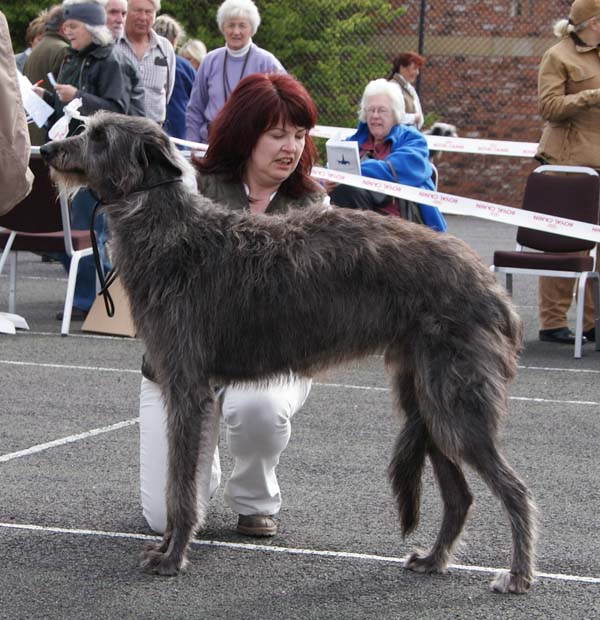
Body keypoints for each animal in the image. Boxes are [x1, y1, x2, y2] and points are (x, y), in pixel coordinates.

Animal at [42, 112, 540, 596]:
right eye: (84, 126)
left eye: (101, 136)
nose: (46, 149)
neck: (169, 229)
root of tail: (493, 289)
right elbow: (180, 480)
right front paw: (167, 547)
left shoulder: (187, 385)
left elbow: (180, 486)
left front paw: (173, 556)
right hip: (427, 398)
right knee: (460, 495)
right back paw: (434, 560)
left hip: (454, 400)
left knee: (515, 489)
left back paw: (518, 574)